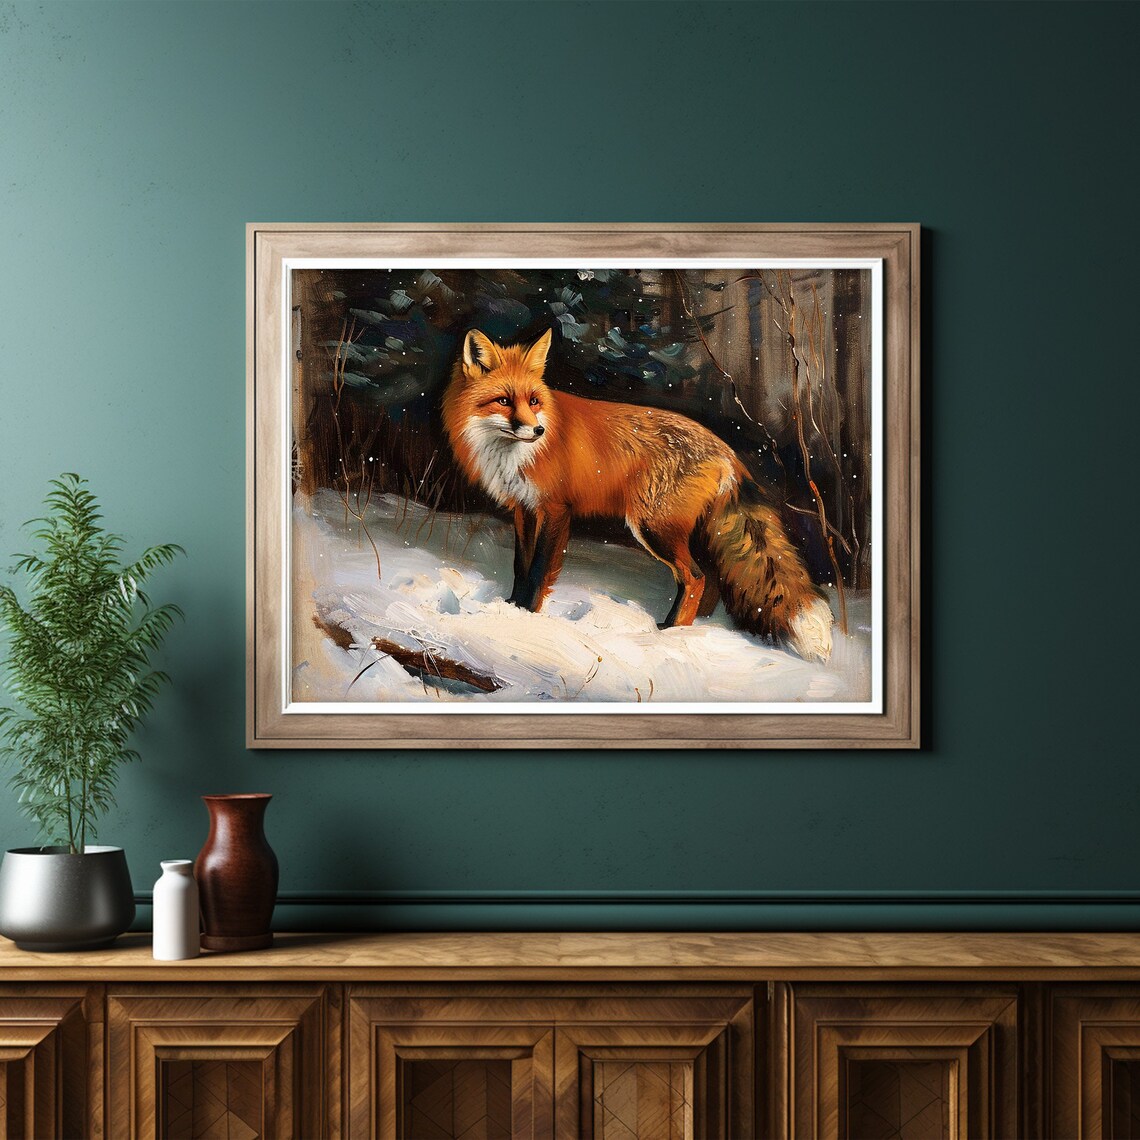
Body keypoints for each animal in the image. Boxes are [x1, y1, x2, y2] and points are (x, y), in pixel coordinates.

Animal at [441, 328, 833, 662]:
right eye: (504, 401)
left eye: (534, 400)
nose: (537, 430)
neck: (511, 455)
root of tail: (727, 451)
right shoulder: (524, 509)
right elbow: (520, 567)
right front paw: (510, 609)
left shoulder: (555, 509)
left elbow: (538, 572)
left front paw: (527, 618)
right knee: (708, 579)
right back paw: (692, 631)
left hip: (653, 527)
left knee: (695, 577)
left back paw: (670, 634)